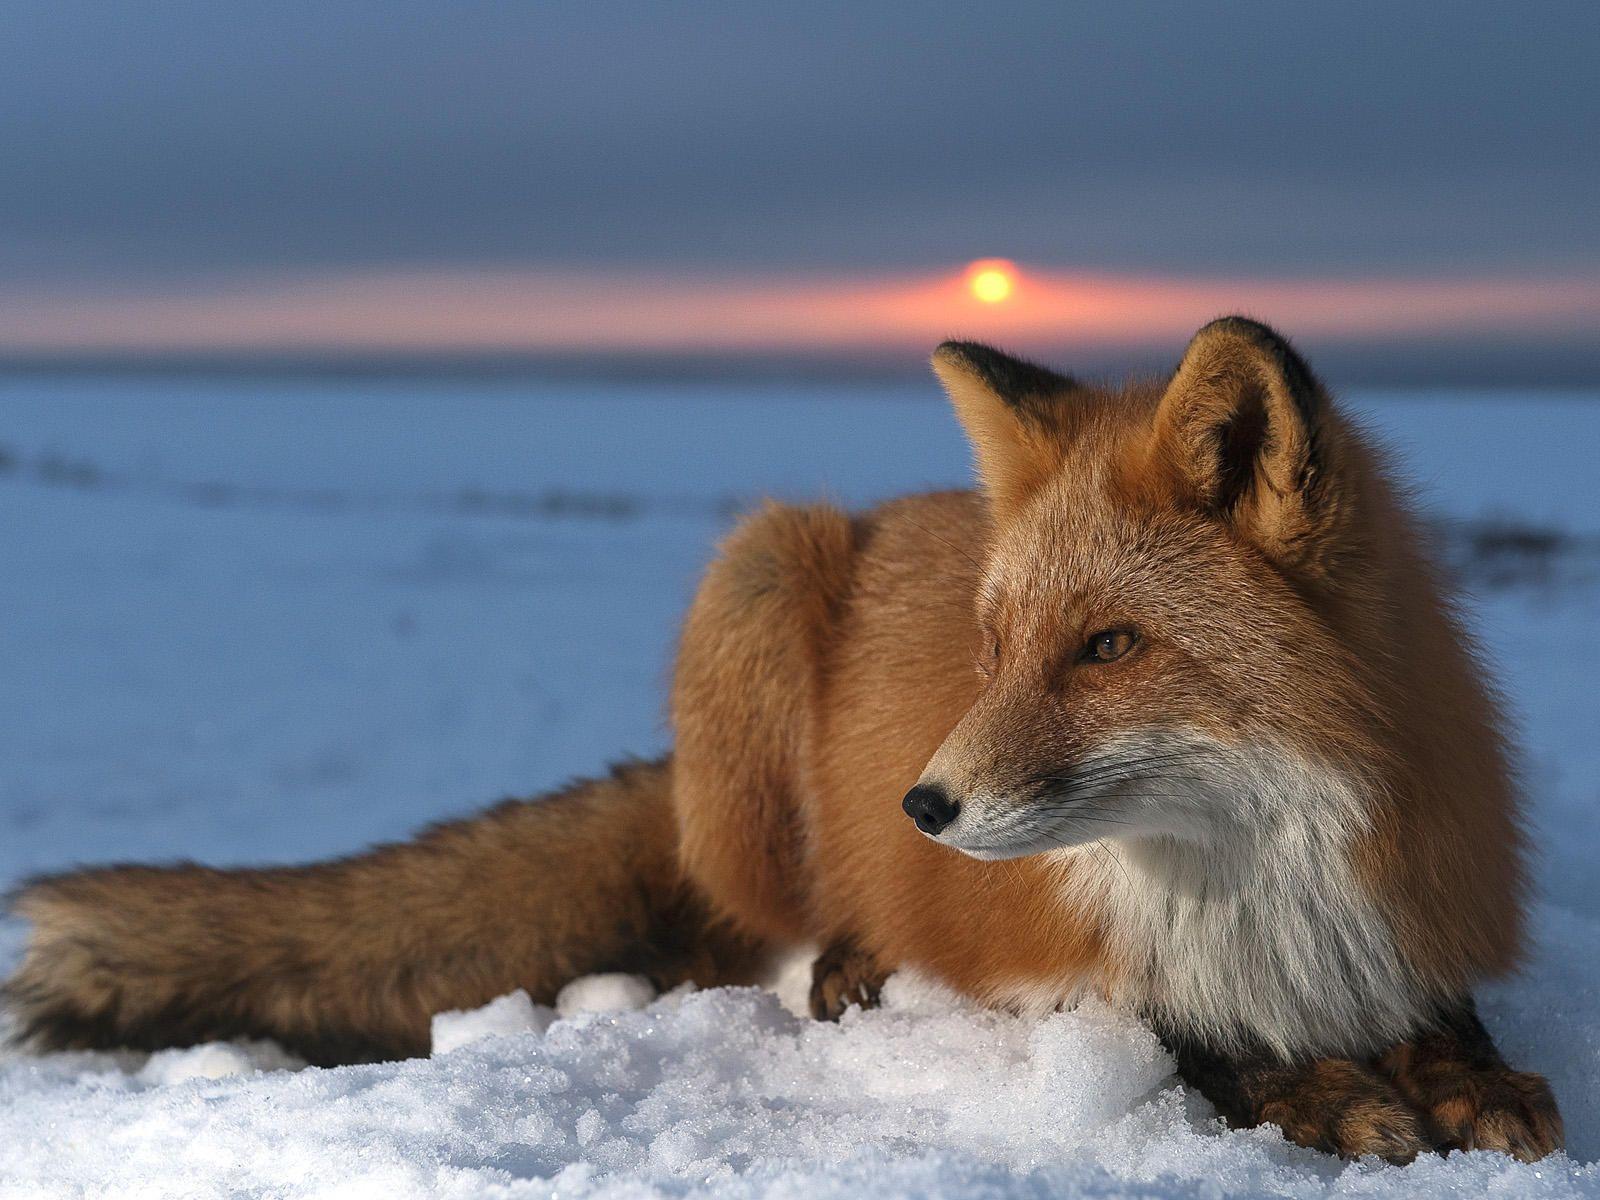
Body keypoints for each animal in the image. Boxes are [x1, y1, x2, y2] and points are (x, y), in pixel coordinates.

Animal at [4, 318, 1563, 1163]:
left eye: (1109, 647)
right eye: (994, 649)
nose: (921, 807)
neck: (1256, 886)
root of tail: (890, 510)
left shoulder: (1409, 914)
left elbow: (1452, 1024)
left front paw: (1468, 1083)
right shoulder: (1069, 971)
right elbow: (1195, 1042)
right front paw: (1329, 1095)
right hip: (757, 574)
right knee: (747, 931)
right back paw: (846, 965)